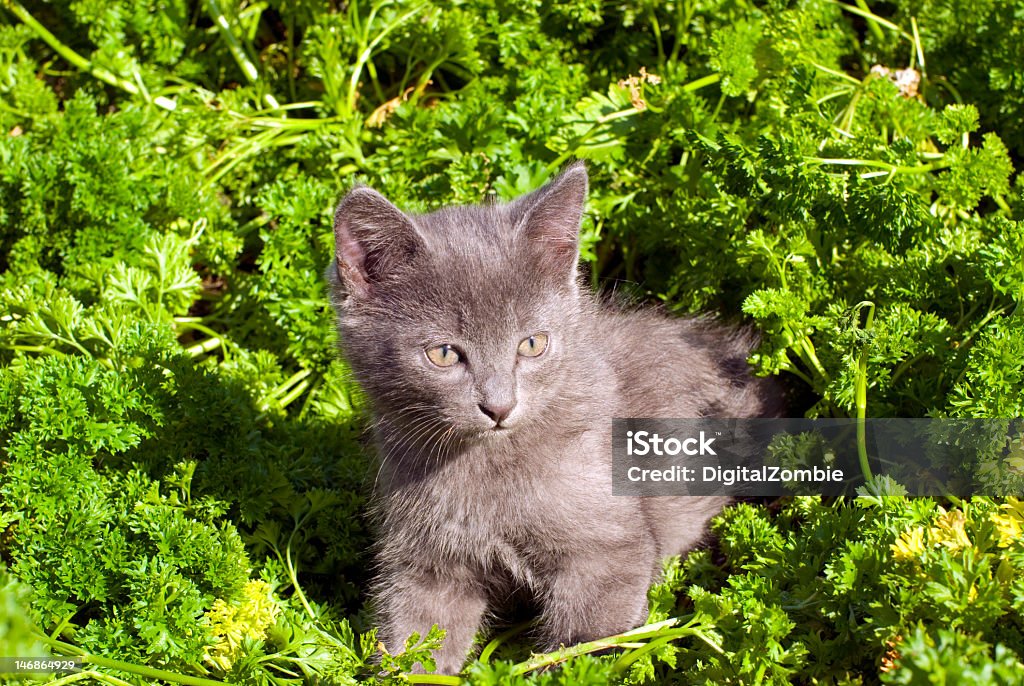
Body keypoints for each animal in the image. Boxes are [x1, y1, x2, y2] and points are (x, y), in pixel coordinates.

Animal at [327, 164, 782, 675]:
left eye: (532, 343)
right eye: (443, 353)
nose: (499, 407)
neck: (486, 471)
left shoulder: (608, 554)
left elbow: (581, 645)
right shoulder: (426, 561)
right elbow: (415, 640)